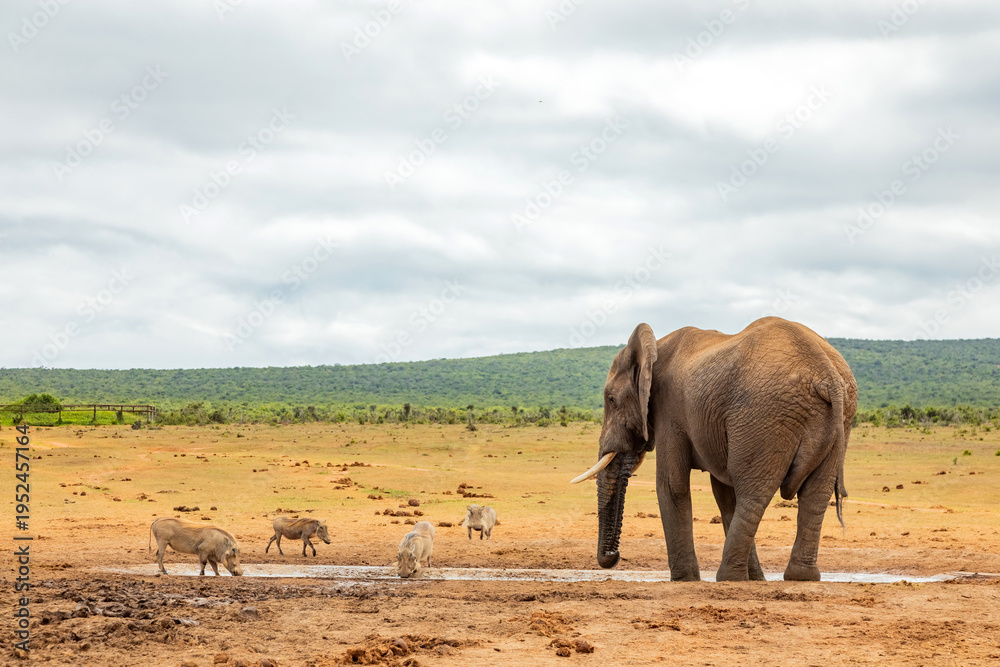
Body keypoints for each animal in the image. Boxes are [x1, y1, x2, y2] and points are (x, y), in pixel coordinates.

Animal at [571, 317, 856, 582]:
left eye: (611, 400)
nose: (614, 557)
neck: (653, 348)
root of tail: (827, 376)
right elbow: (723, 492)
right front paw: (755, 578)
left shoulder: (670, 409)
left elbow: (672, 485)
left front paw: (684, 581)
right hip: (838, 419)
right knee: (815, 494)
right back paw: (799, 577)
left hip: (764, 416)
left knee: (753, 494)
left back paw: (729, 577)